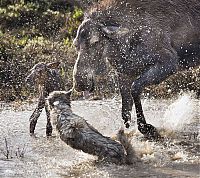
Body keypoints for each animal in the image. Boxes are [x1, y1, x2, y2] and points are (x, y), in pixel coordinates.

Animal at [72, 0, 200, 140]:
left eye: (95, 42)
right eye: (75, 45)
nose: (80, 83)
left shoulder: (169, 62)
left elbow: (135, 89)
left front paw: (147, 128)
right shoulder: (125, 73)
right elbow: (125, 109)